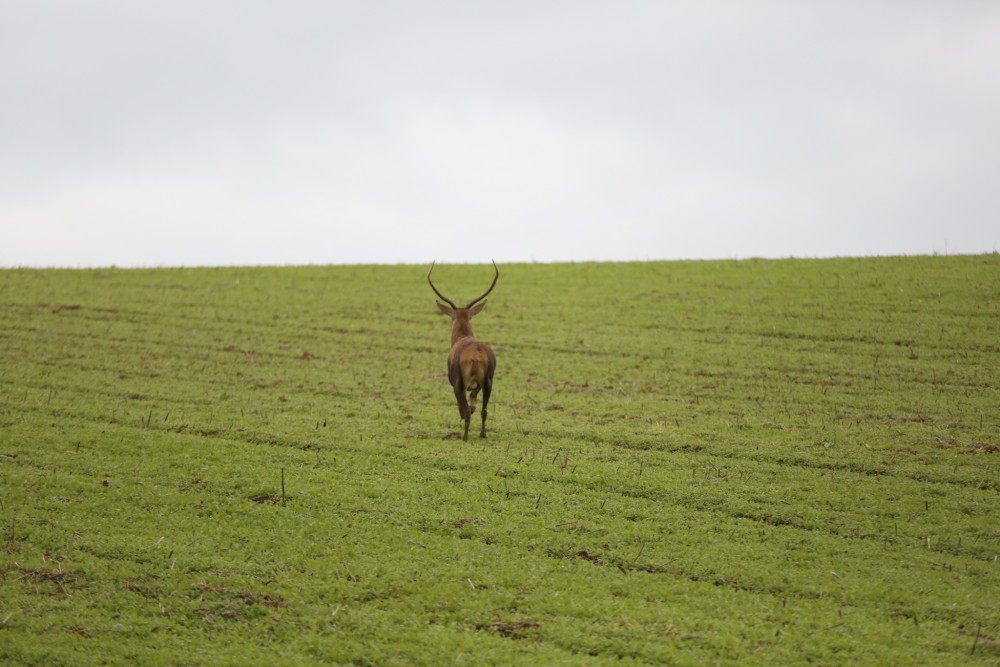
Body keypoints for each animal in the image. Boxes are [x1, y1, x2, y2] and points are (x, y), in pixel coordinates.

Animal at [428, 262, 500, 444]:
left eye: (452, 317)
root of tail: (476, 357)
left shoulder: (455, 382)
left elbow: (464, 407)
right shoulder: (477, 386)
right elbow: (474, 404)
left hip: (459, 382)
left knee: (466, 410)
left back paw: (465, 437)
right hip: (488, 381)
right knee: (484, 410)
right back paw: (483, 434)